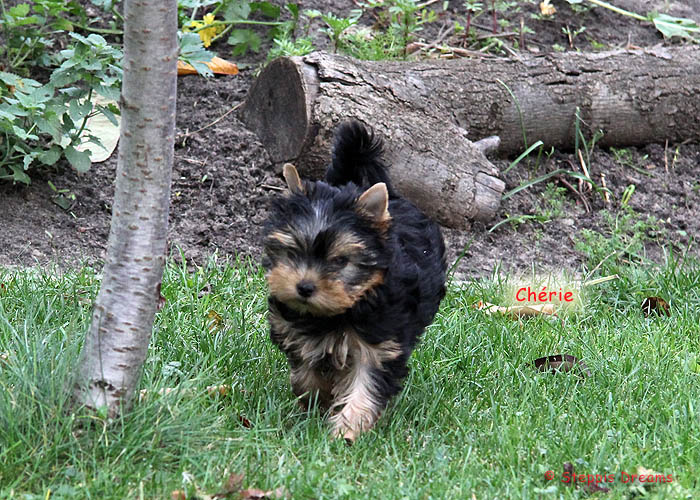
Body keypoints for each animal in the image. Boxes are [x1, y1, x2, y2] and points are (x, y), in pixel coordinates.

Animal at [262, 120, 446, 442]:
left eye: (340, 262)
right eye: (293, 252)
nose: (304, 287)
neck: (338, 312)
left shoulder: (380, 344)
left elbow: (365, 385)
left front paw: (346, 432)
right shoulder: (295, 331)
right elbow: (306, 372)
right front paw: (318, 399)